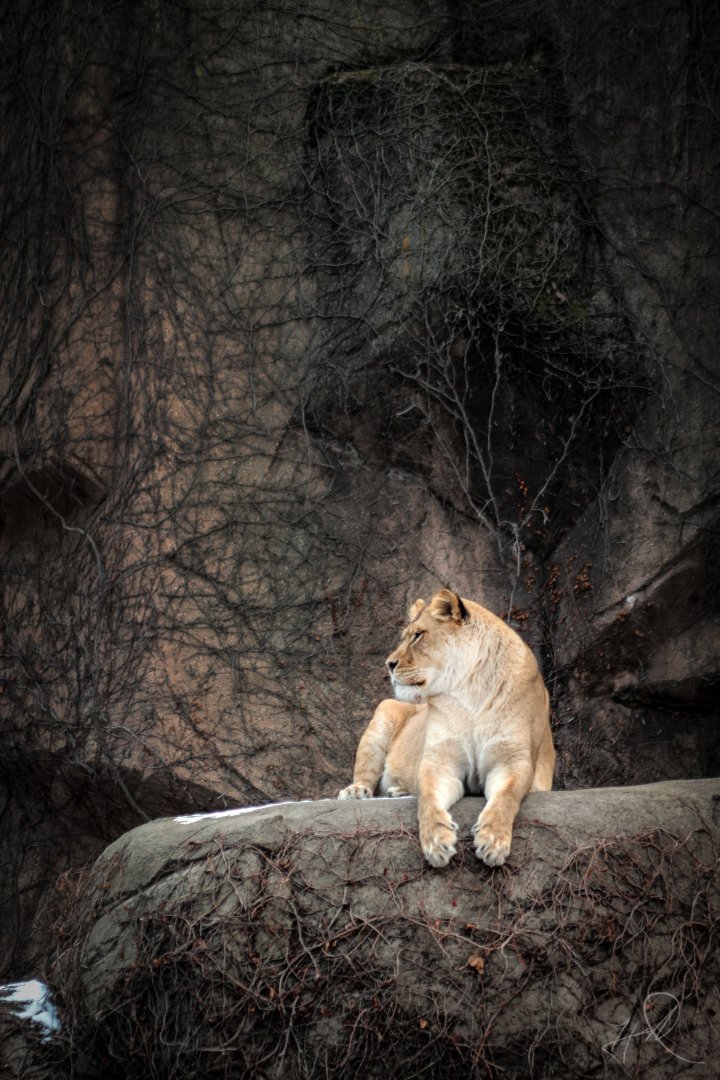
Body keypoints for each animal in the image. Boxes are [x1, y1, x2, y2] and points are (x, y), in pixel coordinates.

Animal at [338, 588, 555, 868]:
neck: (471, 691)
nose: (389, 664)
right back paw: (358, 791)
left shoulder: (512, 761)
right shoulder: (439, 760)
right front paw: (436, 842)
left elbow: (506, 798)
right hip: (384, 711)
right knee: (367, 771)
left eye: (418, 635)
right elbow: (428, 797)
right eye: (405, 637)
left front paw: (492, 841)